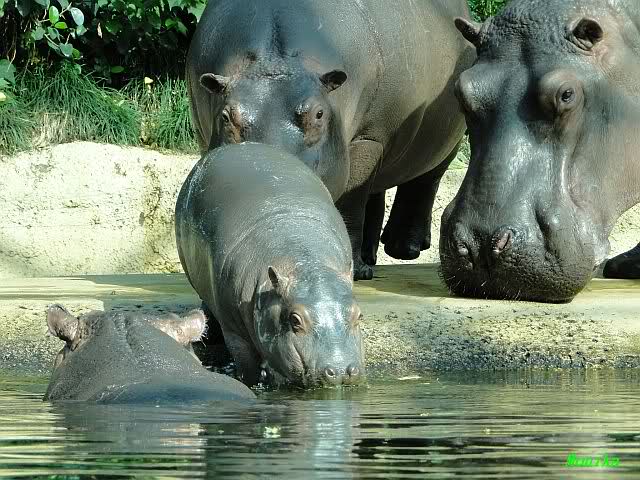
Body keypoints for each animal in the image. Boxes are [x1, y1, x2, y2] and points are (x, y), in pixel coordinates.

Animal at [175, 143, 365, 388]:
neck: (304, 262)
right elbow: (248, 368)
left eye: (359, 315)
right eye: (294, 320)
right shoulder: (235, 332)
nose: (341, 370)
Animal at [186, 0, 475, 280]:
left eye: (319, 114)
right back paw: (369, 257)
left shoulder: (366, 140)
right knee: (377, 192)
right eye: (225, 116)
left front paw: (355, 272)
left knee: (424, 182)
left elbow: (351, 203)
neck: (276, 60)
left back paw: (403, 249)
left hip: (444, 142)